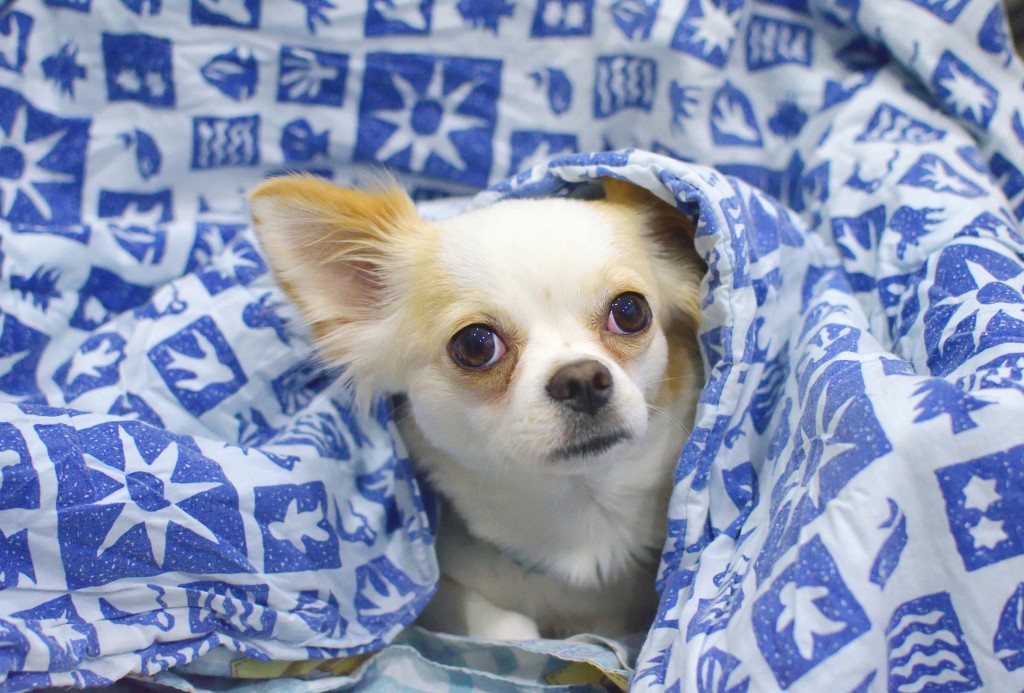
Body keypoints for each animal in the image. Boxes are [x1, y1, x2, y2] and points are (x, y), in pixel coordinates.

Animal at [247, 176, 704, 638]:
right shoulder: (438, 597)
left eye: (630, 310)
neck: (583, 522)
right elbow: (506, 625)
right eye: (475, 345)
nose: (580, 380)